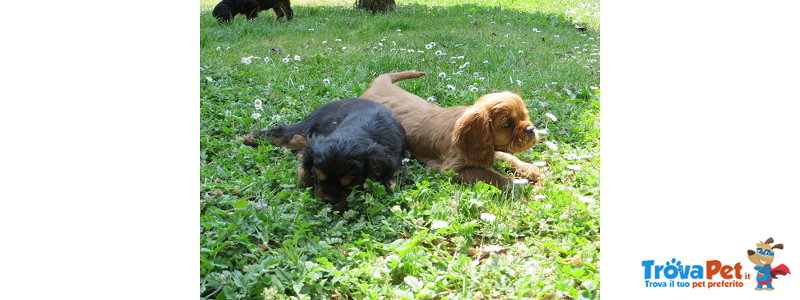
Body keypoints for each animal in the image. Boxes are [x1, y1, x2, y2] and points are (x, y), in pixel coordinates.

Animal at [242, 97, 406, 210]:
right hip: (304, 129)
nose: (328, 200)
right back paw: (245, 138)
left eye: (350, 185)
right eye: (319, 179)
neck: (356, 131)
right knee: (284, 134)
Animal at [362, 71, 544, 186]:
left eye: (524, 116)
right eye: (507, 125)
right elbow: (491, 175)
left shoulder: (487, 149)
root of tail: (380, 84)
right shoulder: (451, 169)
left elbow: (507, 156)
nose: (531, 130)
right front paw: (516, 184)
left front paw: (529, 169)